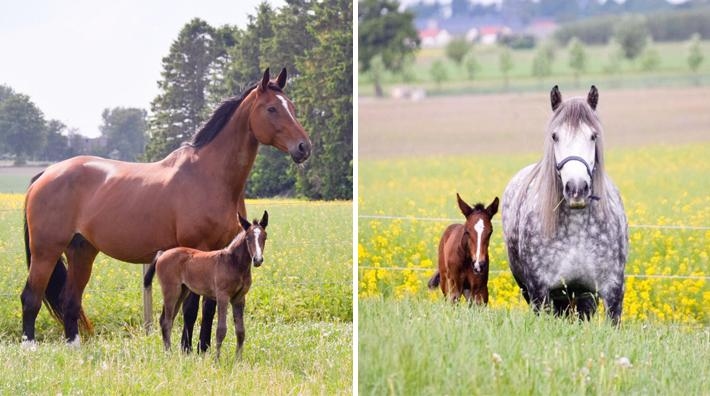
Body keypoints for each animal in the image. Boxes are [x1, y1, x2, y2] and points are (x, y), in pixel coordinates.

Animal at [145, 212, 270, 360]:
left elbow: (240, 331)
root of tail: (162, 254)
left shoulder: (239, 298)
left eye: (264, 237)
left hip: (182, 291)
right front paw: (217, 359)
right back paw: (169, 354)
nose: (257, 260)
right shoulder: (223, 296)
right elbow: (221, 329)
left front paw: (238, 360)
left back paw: (168, 352)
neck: (233, 263)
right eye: (248, 238)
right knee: (167, 321)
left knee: (166, 319)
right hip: (171, 290)